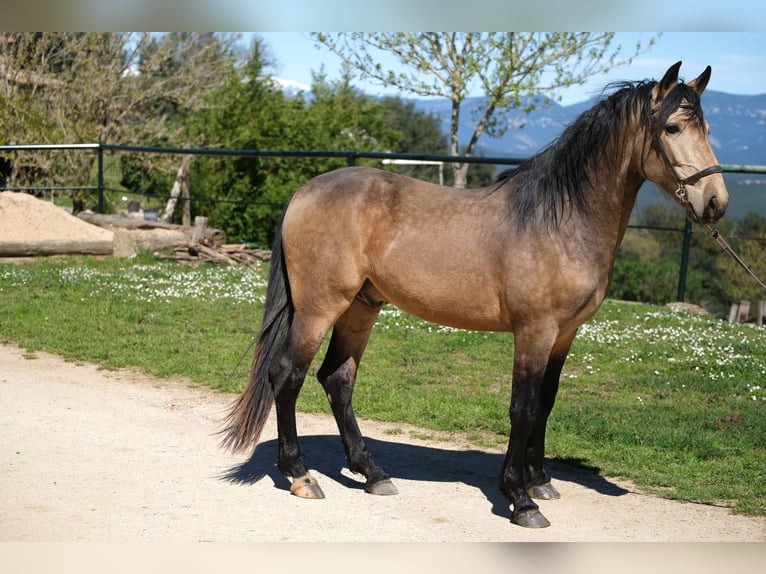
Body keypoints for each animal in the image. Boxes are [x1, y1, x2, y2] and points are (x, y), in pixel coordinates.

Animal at [220, 62, 728, 528]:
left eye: (706, 128)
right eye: (672, 127)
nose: (715, 203)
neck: (560, 221)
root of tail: (305, 190)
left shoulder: (564, 334)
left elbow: (547, 402)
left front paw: (540, 481)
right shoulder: (534, 332)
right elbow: (523, 407)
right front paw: (520, 499)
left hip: (361, 309)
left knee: (337, 380)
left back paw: (372, 473)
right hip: (320, 307)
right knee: (287, 375)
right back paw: (300, 475)